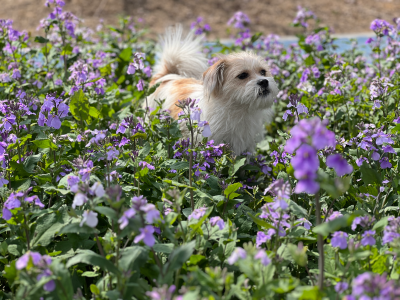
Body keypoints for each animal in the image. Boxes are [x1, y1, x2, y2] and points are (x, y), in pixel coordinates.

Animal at [145, 25, 280, 155]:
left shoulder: (246, 146)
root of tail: (165, 76)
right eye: (242, 75)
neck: (239, 110)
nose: (264, 81)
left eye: (263, 72)